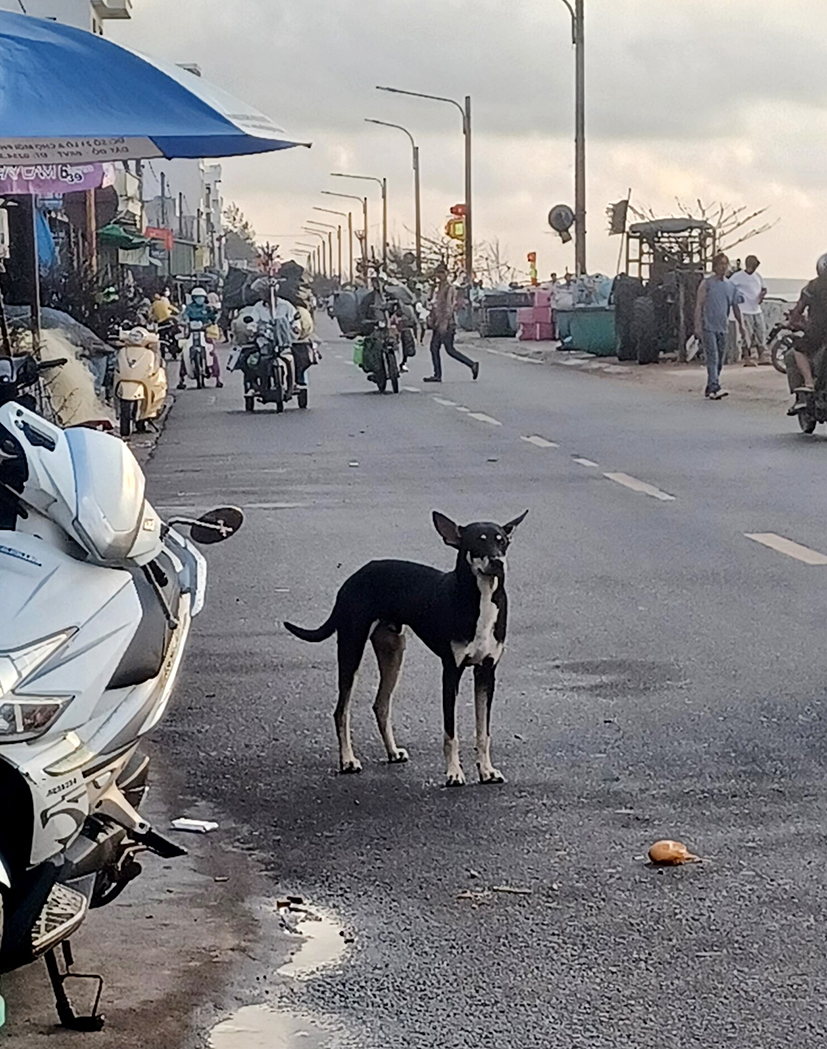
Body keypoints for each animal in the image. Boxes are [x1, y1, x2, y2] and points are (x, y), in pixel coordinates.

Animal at [287, 507, 526, 788]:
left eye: (503, 541)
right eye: (478, 542)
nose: (498, 562)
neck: (481, 600)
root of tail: (355, 576)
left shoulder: (486, 672)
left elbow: (483, 731)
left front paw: (487, 771)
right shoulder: (450, 672)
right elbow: (450, 733)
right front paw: (454, 773)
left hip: (394, 653)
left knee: (380, 705)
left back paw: (392, 752)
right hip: (351, 648)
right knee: (341, 711)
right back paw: (348, 760)